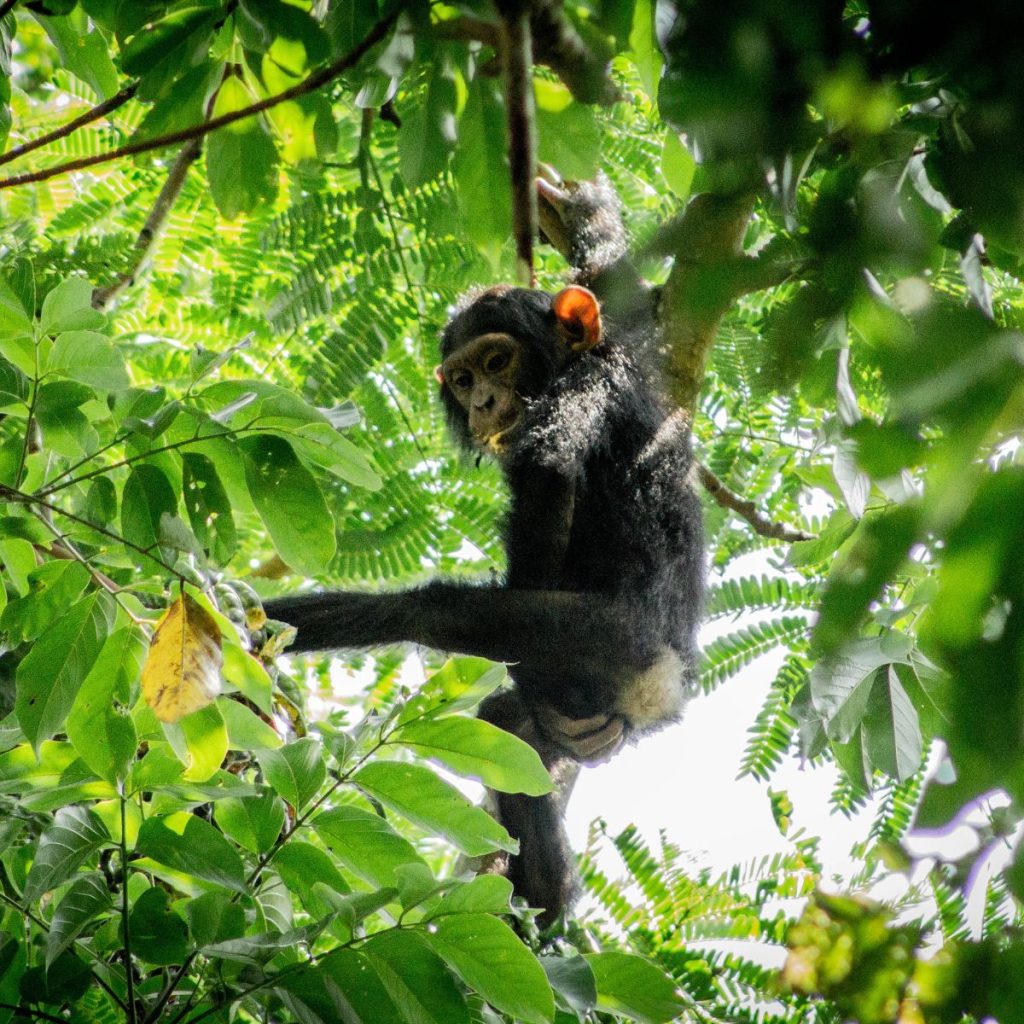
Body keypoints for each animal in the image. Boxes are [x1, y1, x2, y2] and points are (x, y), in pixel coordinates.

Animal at [266, 176, 704, 921]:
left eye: (497, 361)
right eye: (464, 380)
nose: (483, 402)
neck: (581, 358)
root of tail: (664, 681)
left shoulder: (584, 391)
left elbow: (547, 468)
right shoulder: (632, 342)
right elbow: (619, 286)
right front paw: (583, 214)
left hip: (605, 638)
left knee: (434, 613)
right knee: (506, 724)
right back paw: (544, 891)